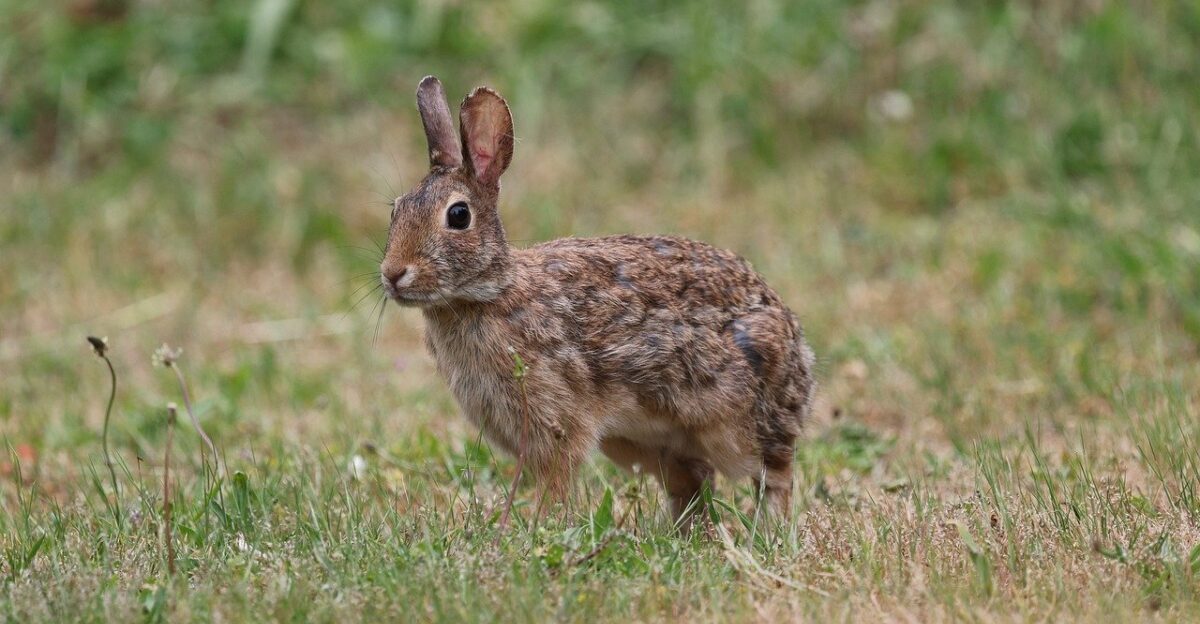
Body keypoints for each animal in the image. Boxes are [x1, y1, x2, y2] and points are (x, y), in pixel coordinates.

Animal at [379, 76, 816, 522]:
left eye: (458, 215)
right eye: (396, 210)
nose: (393, 274)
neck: (488, 295)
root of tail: (797, 348)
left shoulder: (554, 423)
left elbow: (554, 482)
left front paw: (539, 524)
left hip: (740, 423)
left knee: (774, 473)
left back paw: (771, 527)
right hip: (638, 441)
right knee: (693, 480)